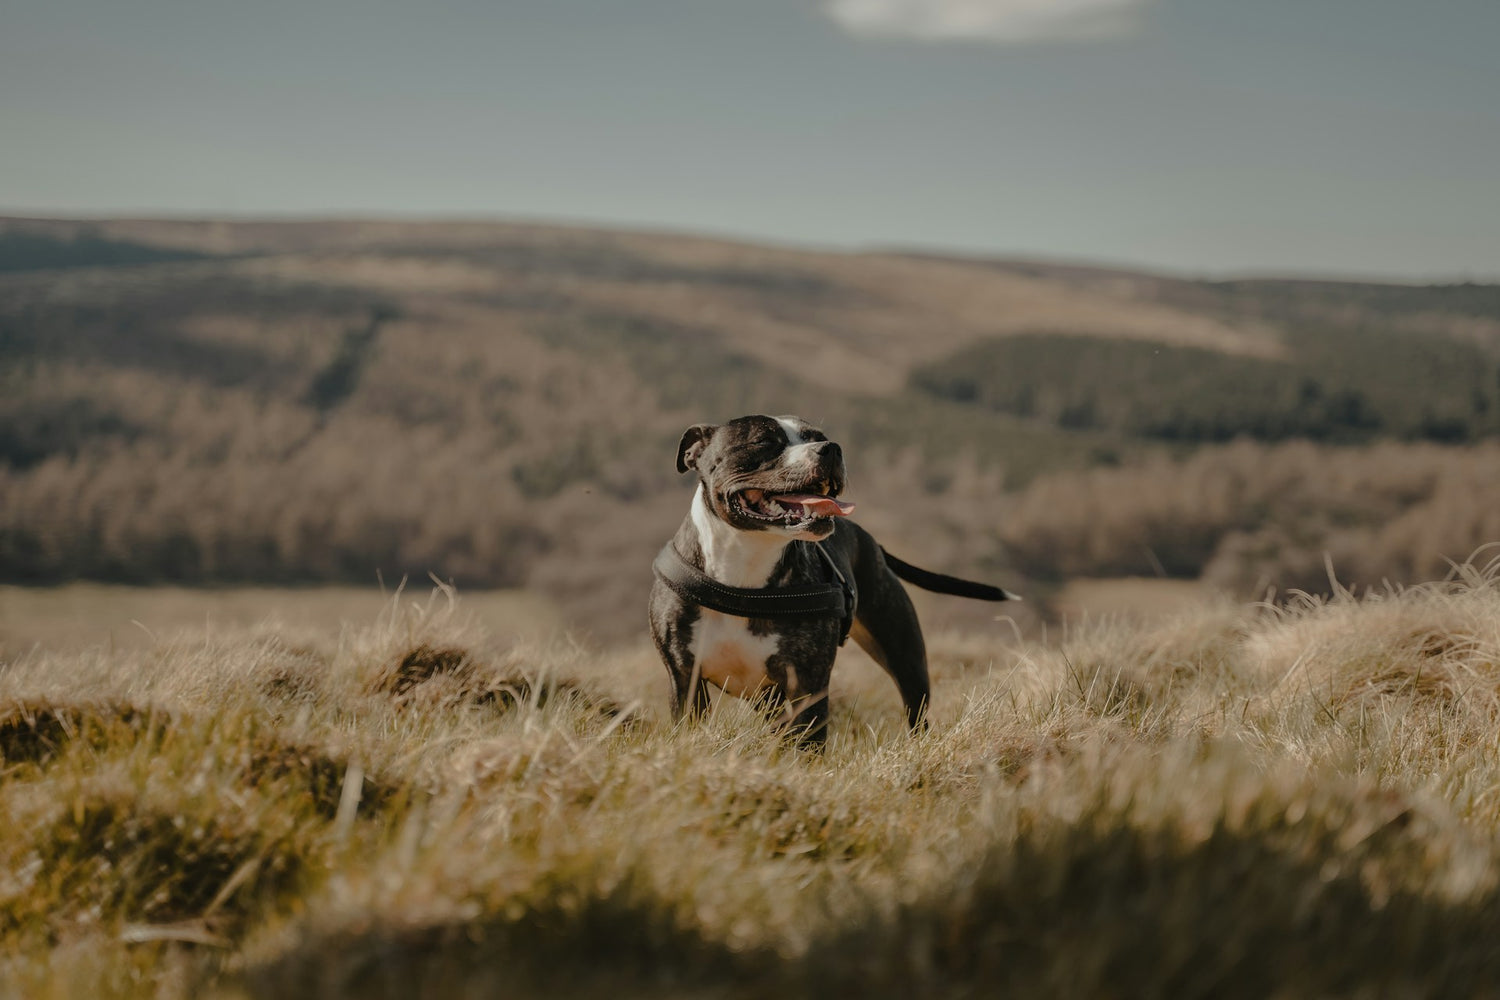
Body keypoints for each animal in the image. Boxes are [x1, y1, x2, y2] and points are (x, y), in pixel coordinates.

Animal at [648, 410, 1020, 746]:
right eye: (764, 441)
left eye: (818, 436)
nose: (831, 448)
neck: (744, 569)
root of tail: (871, 541)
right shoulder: (684, 679)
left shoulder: (809, 682)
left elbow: (807, 744)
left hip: (904, 654)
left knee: (916, 710)